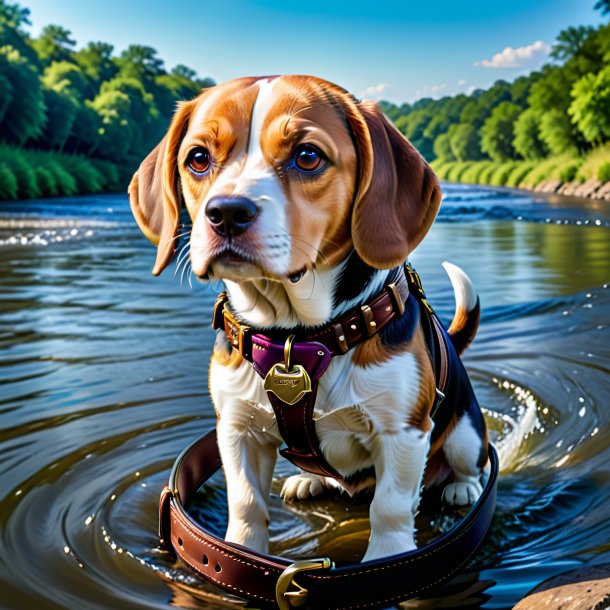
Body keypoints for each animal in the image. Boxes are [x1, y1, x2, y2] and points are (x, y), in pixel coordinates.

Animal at [128, 75, 484, 560]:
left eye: (307, 156)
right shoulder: (237, 429)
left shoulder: (403, 432)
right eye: (198, 159)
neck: (297, 336)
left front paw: (387, 556)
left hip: (466, 430)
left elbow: (390, 509)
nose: (227, 212)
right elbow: (245, 504)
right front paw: (240, 548)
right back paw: (307, 480)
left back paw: (463, 488)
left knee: (466, 462)